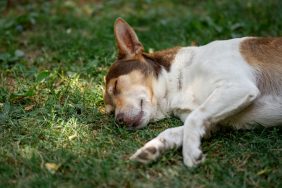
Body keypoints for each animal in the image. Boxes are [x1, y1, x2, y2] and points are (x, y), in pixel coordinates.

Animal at [103, 18, 282, 167]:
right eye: (111, 111)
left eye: (116, 86)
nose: (119, 121)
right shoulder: (212, 124)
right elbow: (172, 131)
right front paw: (152, 149)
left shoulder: (238, 86)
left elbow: (194, 117)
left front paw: (189, 153)